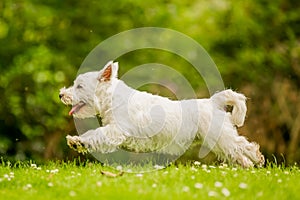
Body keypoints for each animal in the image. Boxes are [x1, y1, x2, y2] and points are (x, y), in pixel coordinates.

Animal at [59, 61, 264, 167]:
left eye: (80, 86)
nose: (61, 94)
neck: (112, 98)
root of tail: (213, 102)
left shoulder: (116, 131)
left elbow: (95, 134)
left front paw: (78, 140)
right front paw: (75, 141)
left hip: (220, 136)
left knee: (243, 146)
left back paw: (258, 159)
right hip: (219, 141)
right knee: (237, 152)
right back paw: (248, 165)